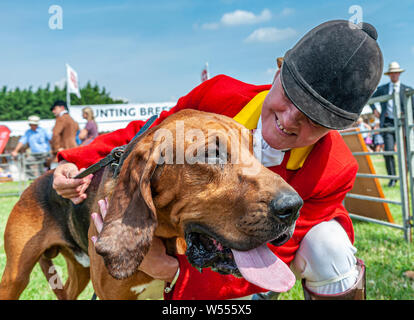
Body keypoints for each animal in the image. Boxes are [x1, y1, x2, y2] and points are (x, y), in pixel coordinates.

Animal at [1, 110, 302, 300]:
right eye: (210, 154)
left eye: (254, 149)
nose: (294, 207)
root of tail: (37, 180)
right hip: (15, 276)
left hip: (78, 270)